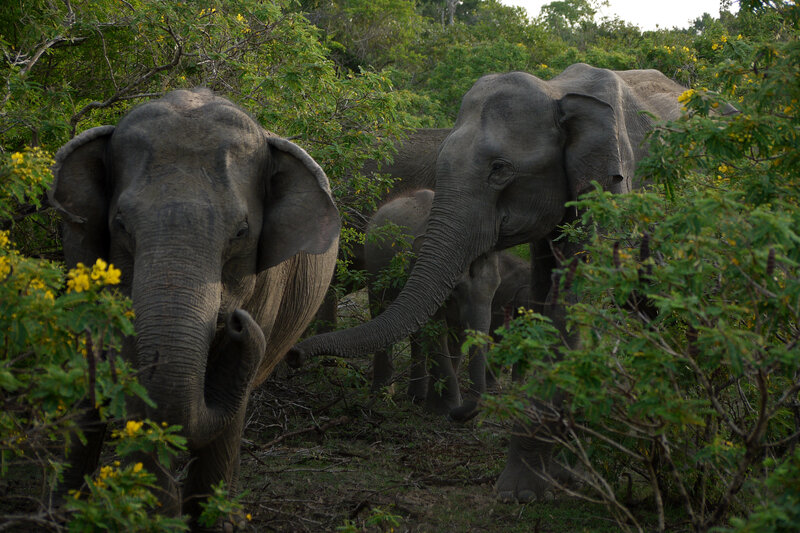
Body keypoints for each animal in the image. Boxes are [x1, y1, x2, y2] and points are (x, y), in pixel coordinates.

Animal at [48, 88, 340, 526]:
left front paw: (209, 520)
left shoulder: (268, 283)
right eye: (120, 224)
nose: (237, 322)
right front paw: (154, 511)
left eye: (241, 232)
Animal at [290, 63, 691, 502]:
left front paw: (524, 489)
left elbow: (574, 309)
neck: (558, 91)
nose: (293, 356)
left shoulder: (615, 188)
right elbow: (547, 303)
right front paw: (560, 478)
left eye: (499, 169)